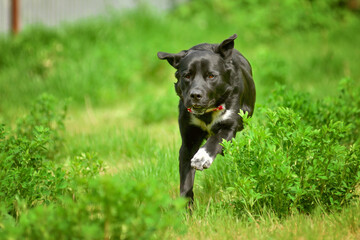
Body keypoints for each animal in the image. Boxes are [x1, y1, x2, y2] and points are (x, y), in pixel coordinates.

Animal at [158, 33, 256, 202]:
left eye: (211, 75)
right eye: (187, 75)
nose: (195, 95)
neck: (207, 113)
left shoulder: (230, 126)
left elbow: (216, 139)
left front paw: (202, 157)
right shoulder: (188, 141)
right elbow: (186, 180)